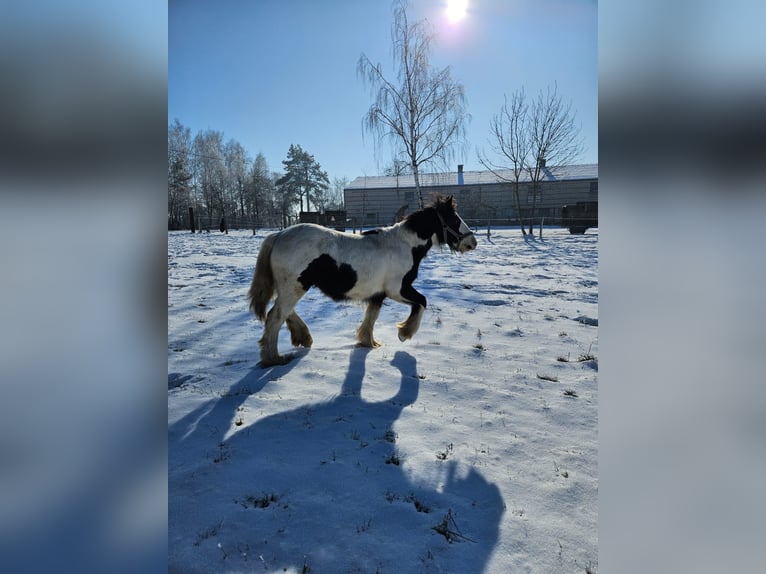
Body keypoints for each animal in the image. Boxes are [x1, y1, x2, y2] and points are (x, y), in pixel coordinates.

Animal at [249, 196, 476, 366]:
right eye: (454, 219)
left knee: (283, 312)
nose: (472, 243)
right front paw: (404, 333)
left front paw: (369, 342)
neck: (404, 246)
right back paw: (274, 358)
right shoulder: (397, 290)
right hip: (294, 288)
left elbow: (371, 317)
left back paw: (302, 337)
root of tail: (279, 235)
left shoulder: (378, 294)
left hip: (289, 288)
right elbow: (422, 302)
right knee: (275, 316)